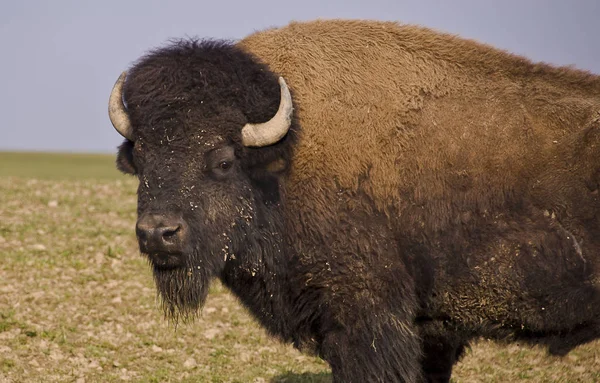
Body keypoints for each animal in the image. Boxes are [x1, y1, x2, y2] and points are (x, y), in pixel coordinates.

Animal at [106, 19, 600, 382]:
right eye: (142, 156)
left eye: (224, 160)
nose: (159, 233)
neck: (285, 155)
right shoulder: (432, 332)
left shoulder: (366, 318)